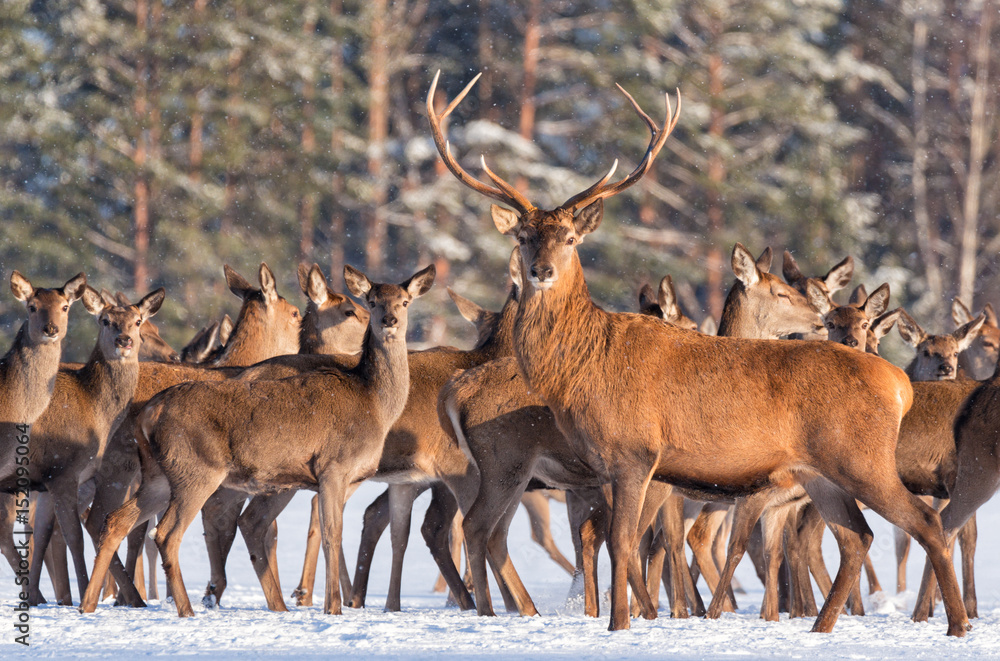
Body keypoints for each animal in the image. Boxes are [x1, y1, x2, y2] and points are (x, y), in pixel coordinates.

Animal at [0, 286, 165, 605]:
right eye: (105, 320)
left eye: (137, 321)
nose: (124, 341)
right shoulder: (61, 472)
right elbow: (74, 534)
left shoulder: (53, 481)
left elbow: (48, 531)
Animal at [80, 264, 434, 618]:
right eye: (369, 302)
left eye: (405, 302)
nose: (389, 320)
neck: (373, 401)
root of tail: (149, 413)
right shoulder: (333, 467)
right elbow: (332, 534)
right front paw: (333, 607)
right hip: (195, 470)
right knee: (165, 533)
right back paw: (184, 608)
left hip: (158, 475)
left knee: (116, 521)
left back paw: (90, 603)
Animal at [427, 71, 969, 637]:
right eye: (524, 236)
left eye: (571, 237)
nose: (541, 270)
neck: (581, 369)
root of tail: (900, 385)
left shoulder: (635, 453)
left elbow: (624, 543)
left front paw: (619, 626)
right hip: (819, 472)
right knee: (857, 535)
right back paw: (821, 627)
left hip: (861, 459)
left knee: (925, 522)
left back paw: (956, 625)